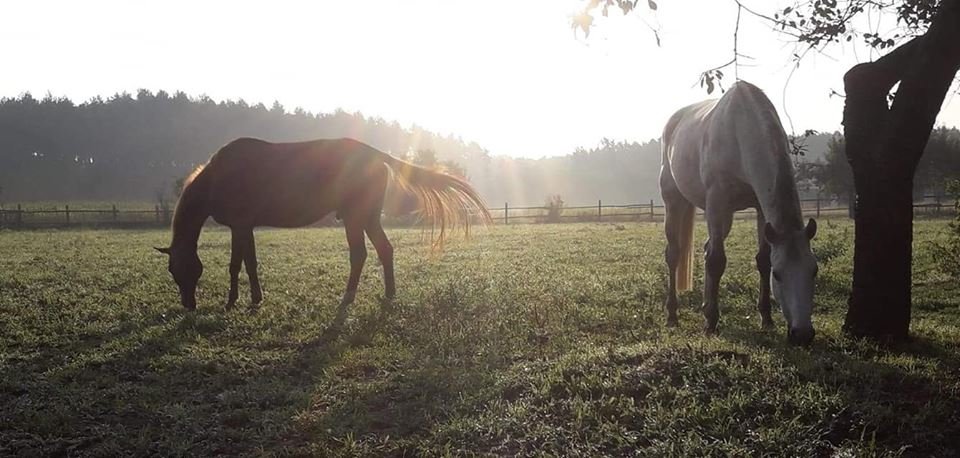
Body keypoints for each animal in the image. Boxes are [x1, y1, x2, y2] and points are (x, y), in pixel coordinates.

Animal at [157, 138, 492, 310]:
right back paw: (389, 294)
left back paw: (348, 298)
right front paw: (250, 298)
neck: (218, 176)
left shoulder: (240, 225)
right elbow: (247, 263)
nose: (188, 305)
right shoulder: (245, 227)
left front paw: (235, 301)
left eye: (179, 269)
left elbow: (238, 264)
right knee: (385, 250)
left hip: (356, 218)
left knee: (360, 254)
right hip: (368, 218)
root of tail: (372, 153)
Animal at [660, 82, 816, 346]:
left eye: (813, 271)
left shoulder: (761, 208)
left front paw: (766, 319)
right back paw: (672, 315)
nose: (803, 334)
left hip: (725, 216)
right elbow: (716, 261)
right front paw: (711, 324)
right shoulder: (716, 199)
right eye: (778, 275)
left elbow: (762, 259)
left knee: (707, 247)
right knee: (674, 254)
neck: (740, 131)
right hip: (675, 201)